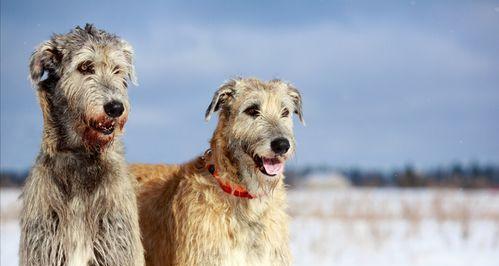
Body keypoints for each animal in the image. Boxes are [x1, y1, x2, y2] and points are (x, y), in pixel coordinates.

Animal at [19, 24, 145, 266]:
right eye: (85, 67)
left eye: (117, 69)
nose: (116, 108)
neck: (80, 155)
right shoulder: (44, 246)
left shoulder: (115, 244)